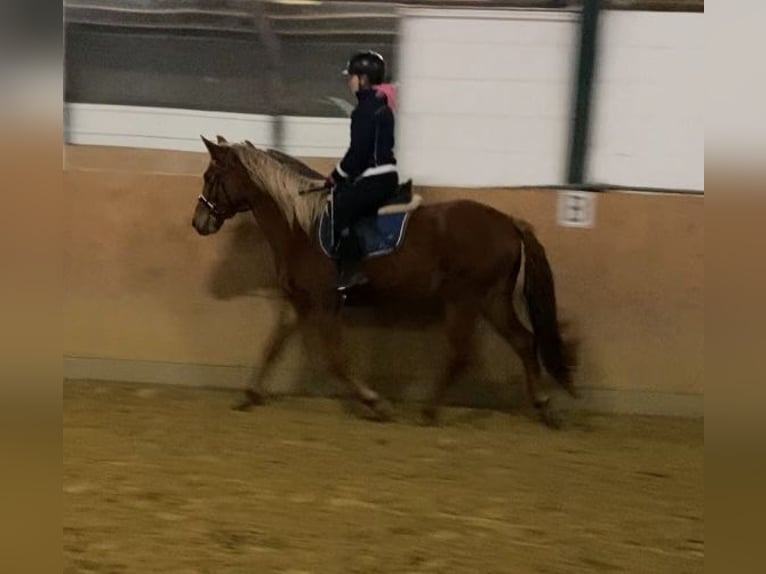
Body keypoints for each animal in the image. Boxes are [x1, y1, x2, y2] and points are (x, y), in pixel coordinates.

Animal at [194, 137, 584, 430]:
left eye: (211, 175)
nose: (199, 222)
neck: (301, 227)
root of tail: (509, 222)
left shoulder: (325, 302)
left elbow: (336, 358)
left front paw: (375, 403)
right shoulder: (298, 301)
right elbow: (272, 345)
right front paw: (249, 394)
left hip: (465, 299)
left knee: (463, 352)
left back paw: (430, 411)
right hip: (492, 299)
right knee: (523, 341)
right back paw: (543, 406)